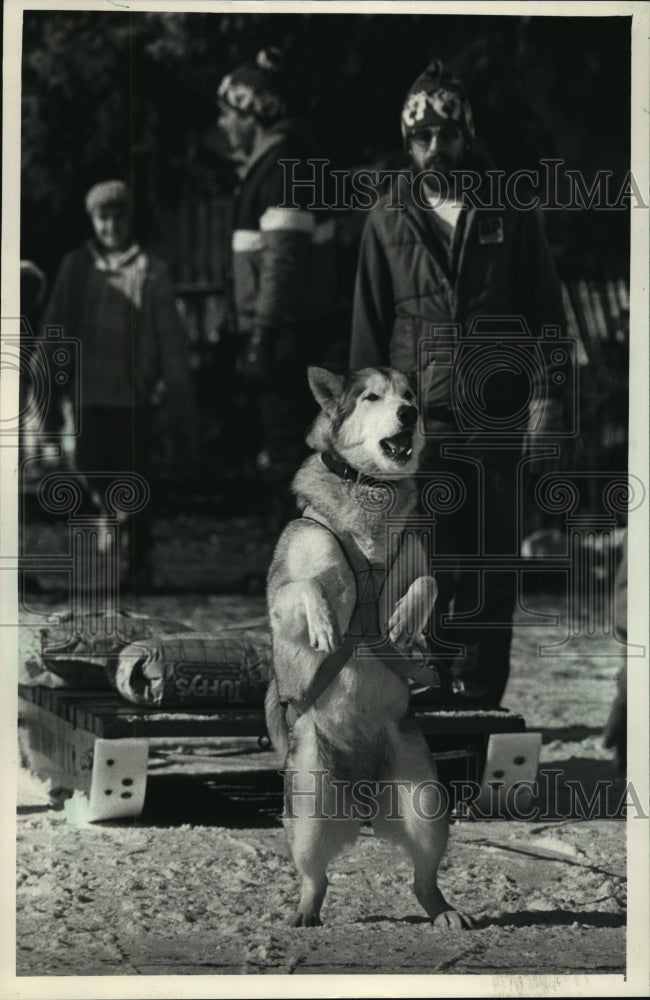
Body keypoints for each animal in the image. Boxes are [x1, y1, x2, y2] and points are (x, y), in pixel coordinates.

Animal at [264, 366, 470, 928]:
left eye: (409, 396)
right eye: (373, 397)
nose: (409, 413)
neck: (369, 492)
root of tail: (360, 791)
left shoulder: (414, 558)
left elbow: (428, 583)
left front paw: (403, 617)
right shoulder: (282, 591)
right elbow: (305, 589)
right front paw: (324, 625)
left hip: (426, 803)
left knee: (424, 878)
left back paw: (444, 911)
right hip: (308, 803)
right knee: (316, 877)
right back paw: (303, 913)